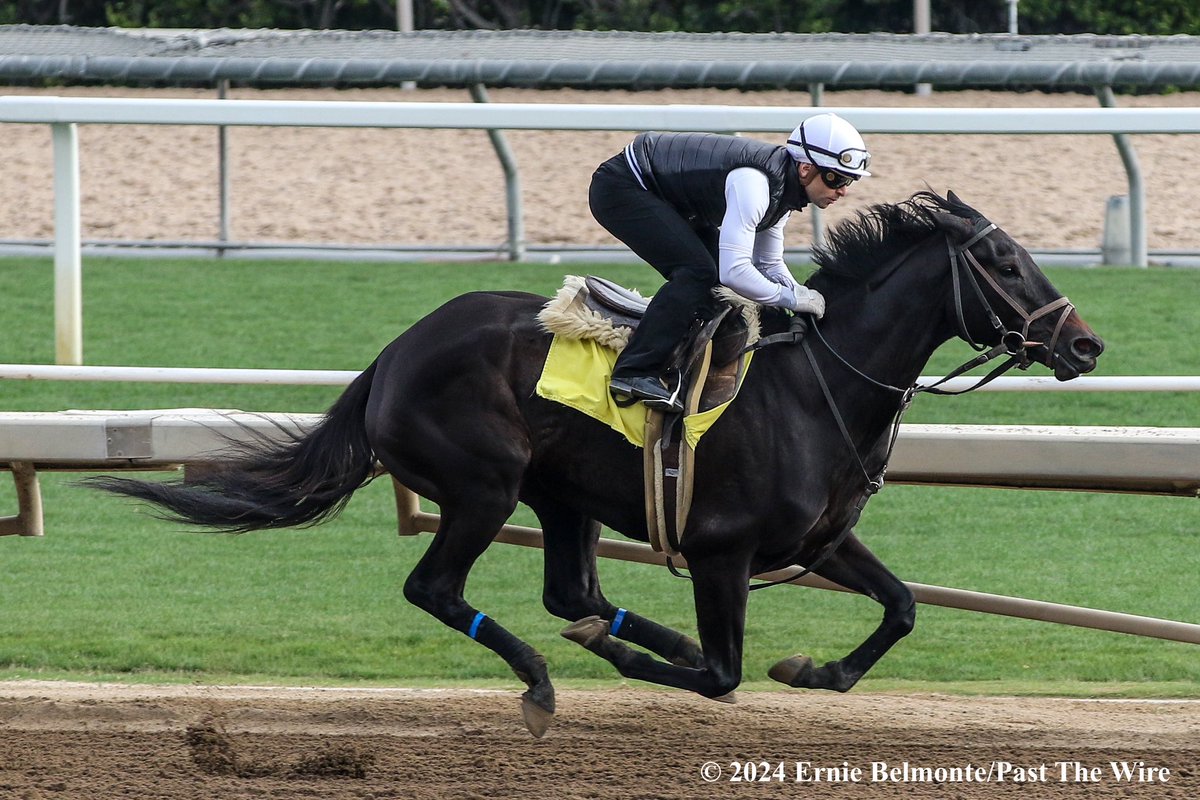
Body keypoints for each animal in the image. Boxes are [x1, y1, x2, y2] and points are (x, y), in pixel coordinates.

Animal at [96, 190, 1104, 734]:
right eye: (1003, 261)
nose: (1085, 344)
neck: (816, 387)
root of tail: (393, 352)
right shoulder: (723, 551)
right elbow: (723, 676)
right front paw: (647, 660)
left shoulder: (818, 543)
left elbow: (899, 608)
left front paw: (814, 671)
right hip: (483, 485)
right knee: (440, 588)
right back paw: (544, 680)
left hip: (562, 494)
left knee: (571, 591)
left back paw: (608, 638)